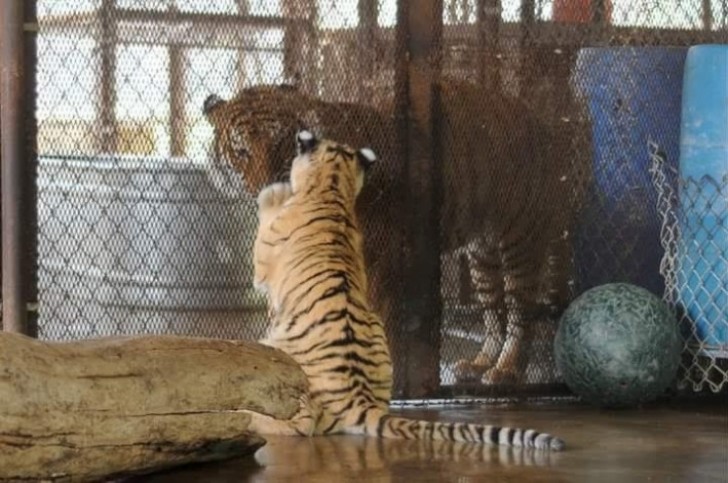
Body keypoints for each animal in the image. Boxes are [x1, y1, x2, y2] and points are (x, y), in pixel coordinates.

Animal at [202, 78, 588, 386]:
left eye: (284, 143)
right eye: (241, 151)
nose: (266, 188)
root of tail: (546, 126)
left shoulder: (380, 260)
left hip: (520, 239)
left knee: (521, 311)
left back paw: (507, 369)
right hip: (483, 253)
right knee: (493, 312)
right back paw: (478, 364)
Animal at [247, 130, 564, 452]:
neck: (333, 187)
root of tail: (359, 399)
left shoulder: (262, 262)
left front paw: (274, 192)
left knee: (302, 424)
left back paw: (251, 420)